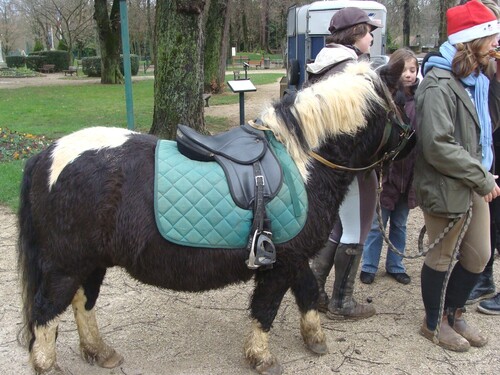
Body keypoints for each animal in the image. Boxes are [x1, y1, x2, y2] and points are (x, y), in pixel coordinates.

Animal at [17, 62, 412, 375]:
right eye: (403, 94)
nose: (412, 142)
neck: (304, 164)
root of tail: (47, 154)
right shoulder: (280, 264)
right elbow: (266, 309)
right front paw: (261, 358)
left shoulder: (294, 258)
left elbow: (309, 292)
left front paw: (315, 338)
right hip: (66, 265)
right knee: (46, 313)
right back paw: (49, 365)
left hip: (90, 262)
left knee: (82, 303)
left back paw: (100, 352)